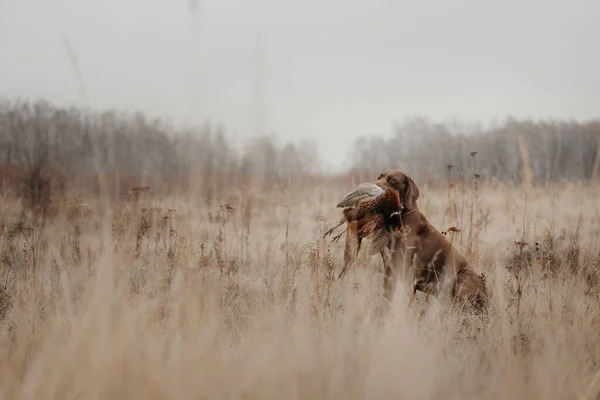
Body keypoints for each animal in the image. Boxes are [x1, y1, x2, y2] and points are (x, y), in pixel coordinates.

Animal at [328, 169, 488, 312]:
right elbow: (387, 297)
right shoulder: (389, 268)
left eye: (392, 180)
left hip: (464, 276)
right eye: (379, 176)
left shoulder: (409, 273)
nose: (374, 187)